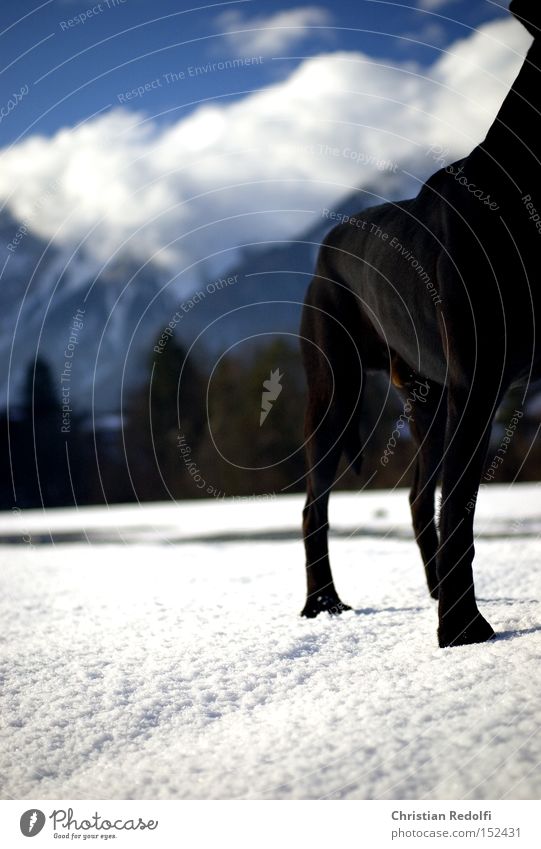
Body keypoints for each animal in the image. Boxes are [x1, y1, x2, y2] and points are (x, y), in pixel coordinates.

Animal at [302, 0, 536, 644]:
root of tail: (326, 244)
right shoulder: (477, 387)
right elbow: (459, 506)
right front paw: (463, 628)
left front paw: (455, 616)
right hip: (338, 389)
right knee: (315, 503)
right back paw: (323, 602)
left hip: (427, 401)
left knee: (413, 497)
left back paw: (434, 590)